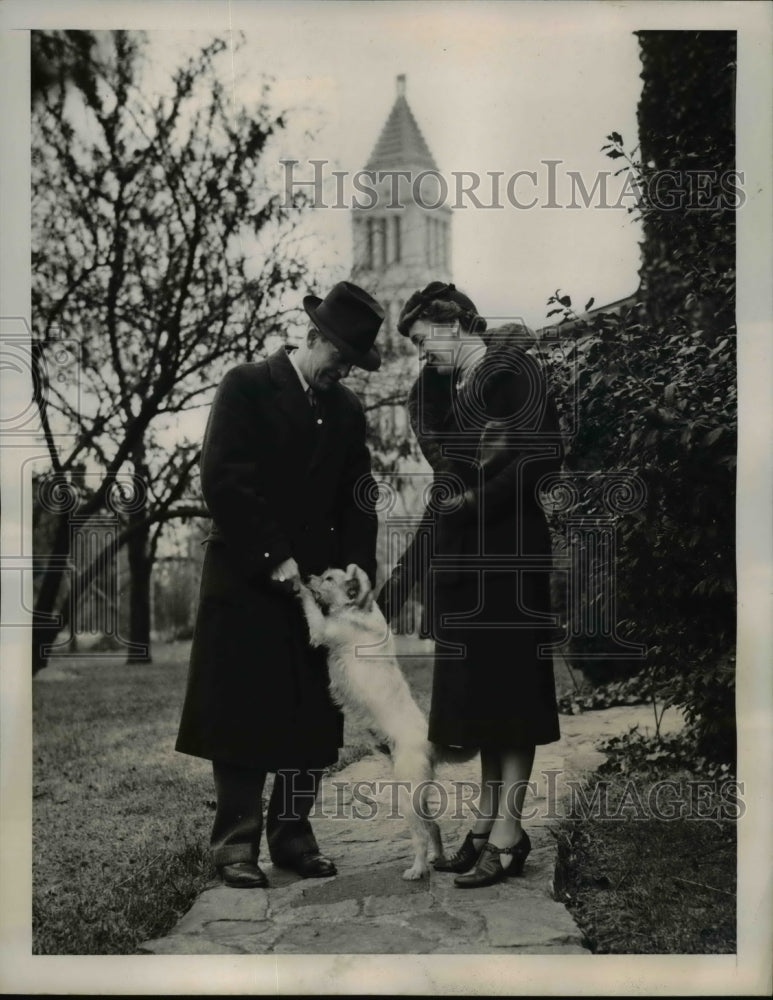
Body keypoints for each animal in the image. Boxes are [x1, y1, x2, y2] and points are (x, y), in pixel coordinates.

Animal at [296, 568, 444, 880]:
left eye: (329, 578)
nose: (309, 575)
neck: (356, 610)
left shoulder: (322, 630)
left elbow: (311, 608)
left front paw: (299, 587)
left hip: (407, 795)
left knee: (421, 835)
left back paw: (417, 869)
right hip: (420, 796)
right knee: (433, 826)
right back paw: (438, 859)